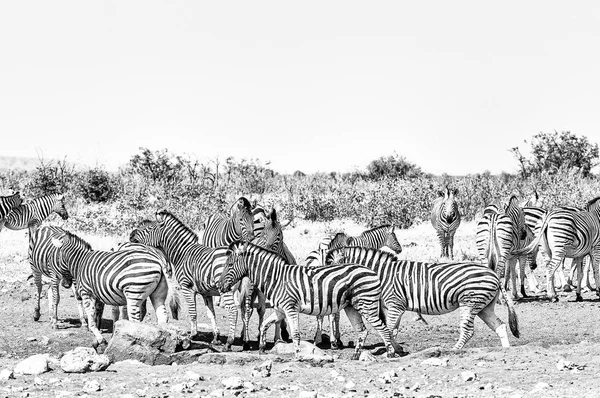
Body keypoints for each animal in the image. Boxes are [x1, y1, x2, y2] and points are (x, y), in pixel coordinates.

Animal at [129, 210, 241, 350]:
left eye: (149, 228)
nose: (130, 236)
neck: (182, 253)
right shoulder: (206, 292)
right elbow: (211, 314)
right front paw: (216, 338)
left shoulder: (186, 287)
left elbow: (192, 312)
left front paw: (192, 335)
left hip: (225, 289)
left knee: (233, 310)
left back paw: (230, 341)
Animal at [218, 241, 406, 360]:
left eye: (230, 264)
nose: (219, 286)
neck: (277, 277)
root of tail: (372, 271)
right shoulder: (280, 310)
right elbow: (264, 325)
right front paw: (263, 348)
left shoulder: (290, 307)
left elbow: (295, 333)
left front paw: (298, 355)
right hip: (351, 307)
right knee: (362, 331)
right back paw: (356, 355)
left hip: (367, 305)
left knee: (383, 328)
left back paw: (390, 353)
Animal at [326, 247, 516, 350]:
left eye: (330, 268)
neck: (383, 274)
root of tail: (493, 274)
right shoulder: (396, 306)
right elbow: (393, 329)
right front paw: (397, 348)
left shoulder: (395, 304)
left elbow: (389, 328)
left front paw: (393, 349)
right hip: (484, 307)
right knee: (500, 326)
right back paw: (506, 350)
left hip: (470, 303)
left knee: (468, 331)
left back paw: (454, 350)